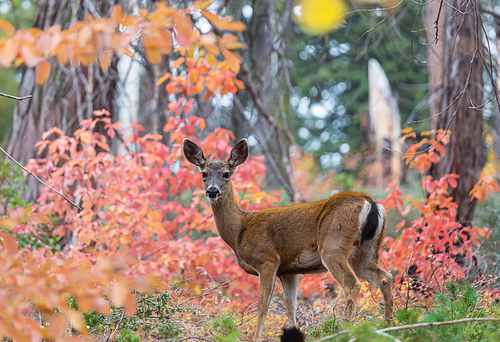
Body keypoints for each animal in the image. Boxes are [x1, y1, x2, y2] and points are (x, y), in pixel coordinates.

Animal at [182, 138, 392, 340]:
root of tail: (369, 201)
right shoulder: (288, 270)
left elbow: (263, 305)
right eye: (203, 174)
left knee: (352, 284)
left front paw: (256, 338)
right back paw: (389, 326)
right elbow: (290, 306)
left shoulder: (268, 259)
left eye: (226, 174)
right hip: (365, 251)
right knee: (385, 278)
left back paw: (344, 331)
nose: (212, 191)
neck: (240, 229)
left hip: (333, 245)